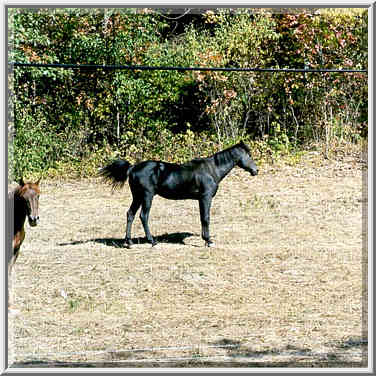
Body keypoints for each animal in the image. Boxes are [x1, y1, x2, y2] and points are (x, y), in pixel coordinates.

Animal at [100, 140, 258, 247]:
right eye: (248, 155)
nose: (256, 171)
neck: (211, 170)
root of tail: (132, 168)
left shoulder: (200, 199)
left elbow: (202, 218)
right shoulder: (205, 198)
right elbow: (206, 218)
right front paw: (208, 241)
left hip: (137, 197)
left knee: (130, 214)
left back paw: (129, 242)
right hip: (146, 196)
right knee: (143, 216)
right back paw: (152, 241)